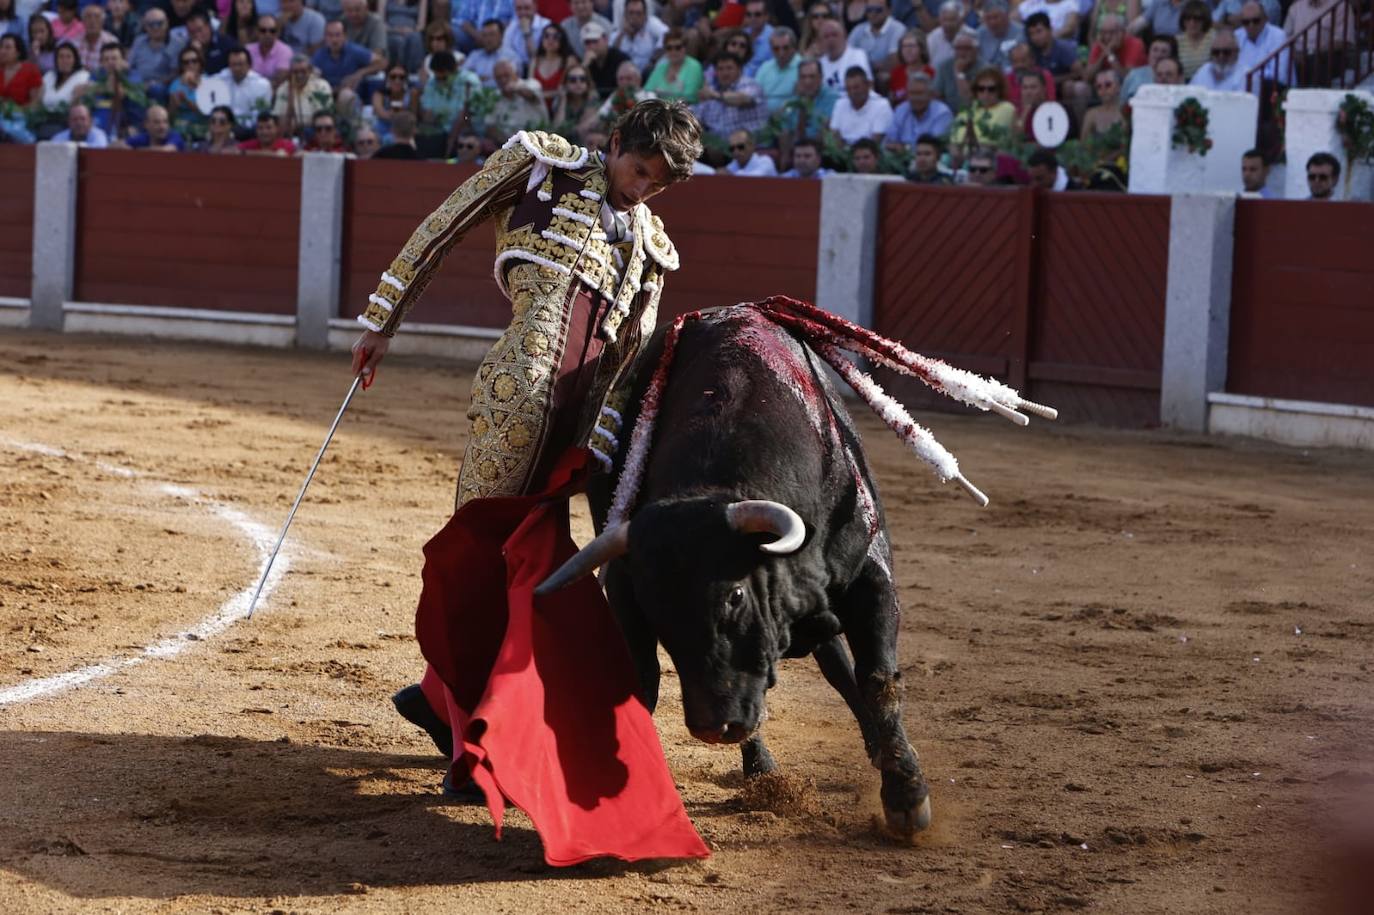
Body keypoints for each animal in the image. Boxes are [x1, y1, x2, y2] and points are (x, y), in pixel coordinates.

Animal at [541, 302, 939, 829]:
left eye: (734, 594)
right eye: (656, 610)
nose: (715, 725)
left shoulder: (871, 580)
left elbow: (878, 679)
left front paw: (907, 797)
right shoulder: (625, 586)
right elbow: (643, 680)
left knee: (838, 666)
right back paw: (762, 769)